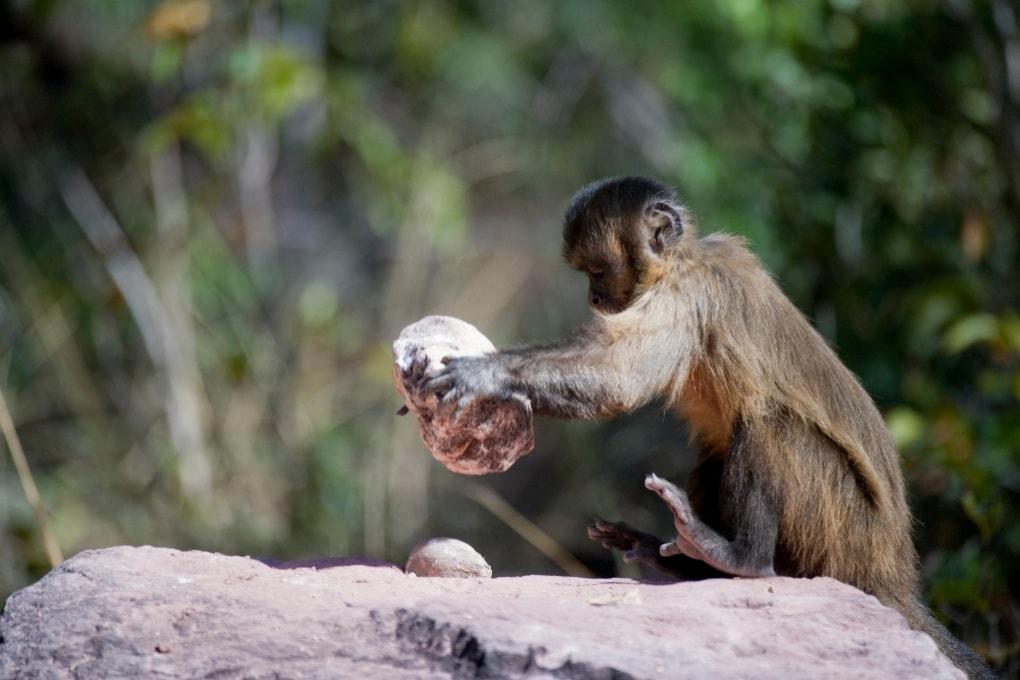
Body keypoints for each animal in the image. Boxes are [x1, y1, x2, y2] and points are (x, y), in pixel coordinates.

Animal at [418, 178, 991, 676]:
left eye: (599, 271)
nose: (593, 299)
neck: (682, 260)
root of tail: (892, 575)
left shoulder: (689, 292)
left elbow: (618, 376)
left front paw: (488, 375)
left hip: (845, 533)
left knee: (768, 424)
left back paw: (744, 560)